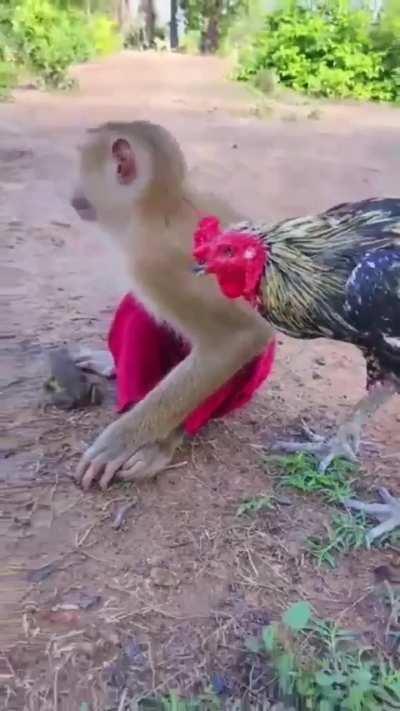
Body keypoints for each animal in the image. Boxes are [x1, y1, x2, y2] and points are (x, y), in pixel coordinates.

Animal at [71, 120, 274, 491]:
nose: (75, 194)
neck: (162, 208)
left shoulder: (152, 262)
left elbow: (242, 337)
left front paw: (119, 441)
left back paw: (162, 443)